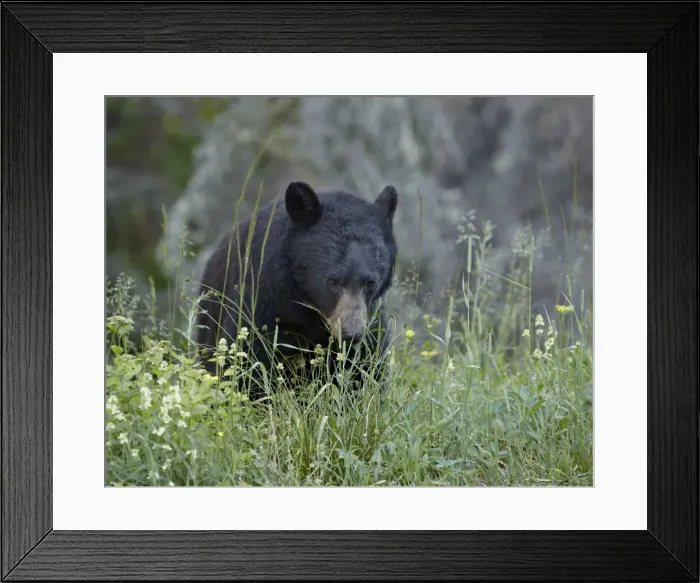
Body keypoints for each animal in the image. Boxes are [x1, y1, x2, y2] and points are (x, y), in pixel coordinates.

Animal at [194, 180, 399, 401]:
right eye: (333, 281)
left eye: (370, 283)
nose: (350, 334)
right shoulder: (261, 299)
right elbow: (249, 358)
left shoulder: (371, 320)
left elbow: (365, 367)